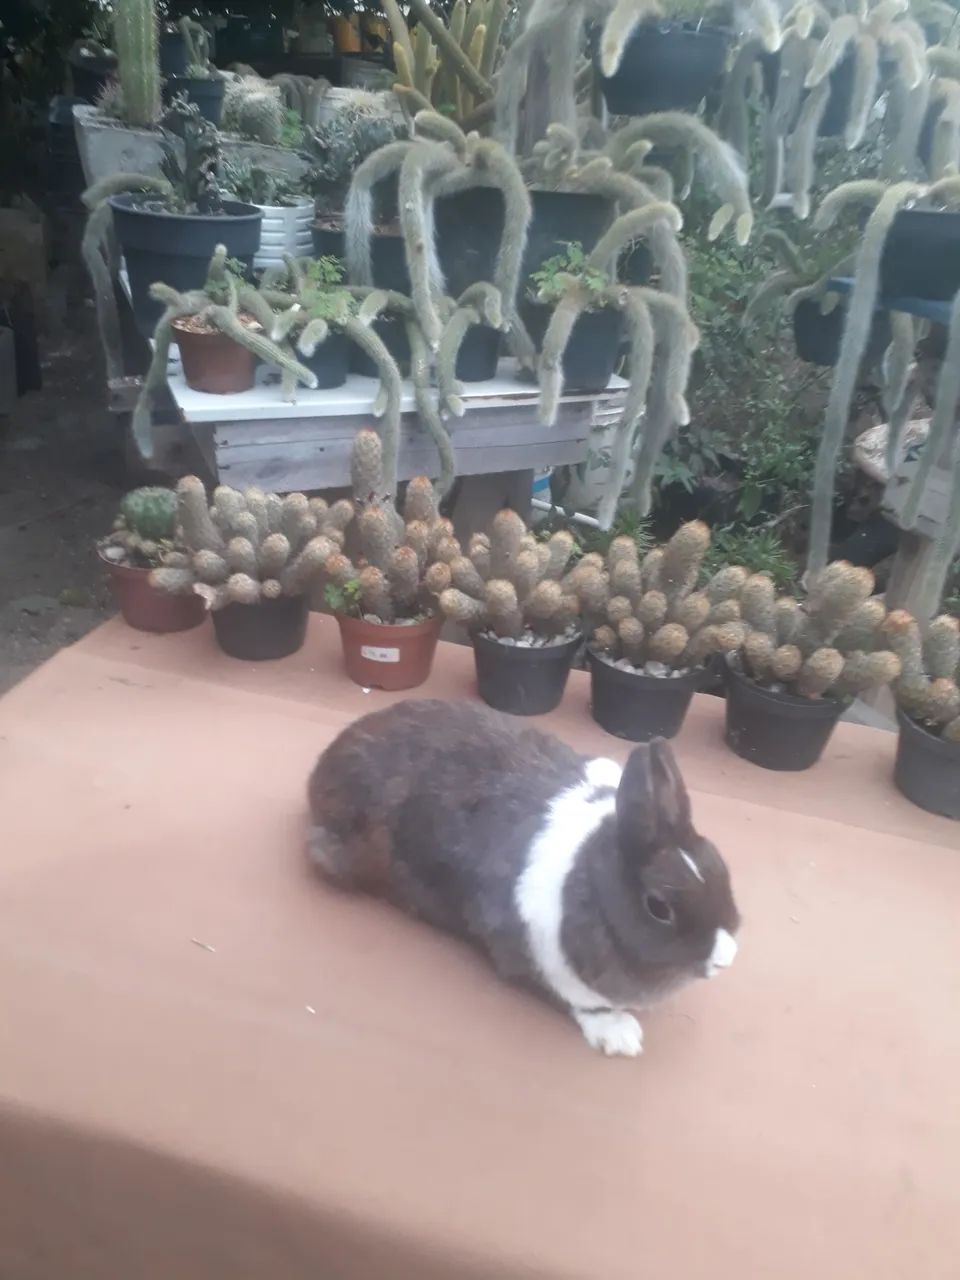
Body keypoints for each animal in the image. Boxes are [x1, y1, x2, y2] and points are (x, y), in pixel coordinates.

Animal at [306, 699, 740, 1057]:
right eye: (658, 907)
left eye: (719, 865)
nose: (725, 957)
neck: (589, 877)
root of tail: (325, 763)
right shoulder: (535, 957)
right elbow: (579, 1002)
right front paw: (621, 1035)